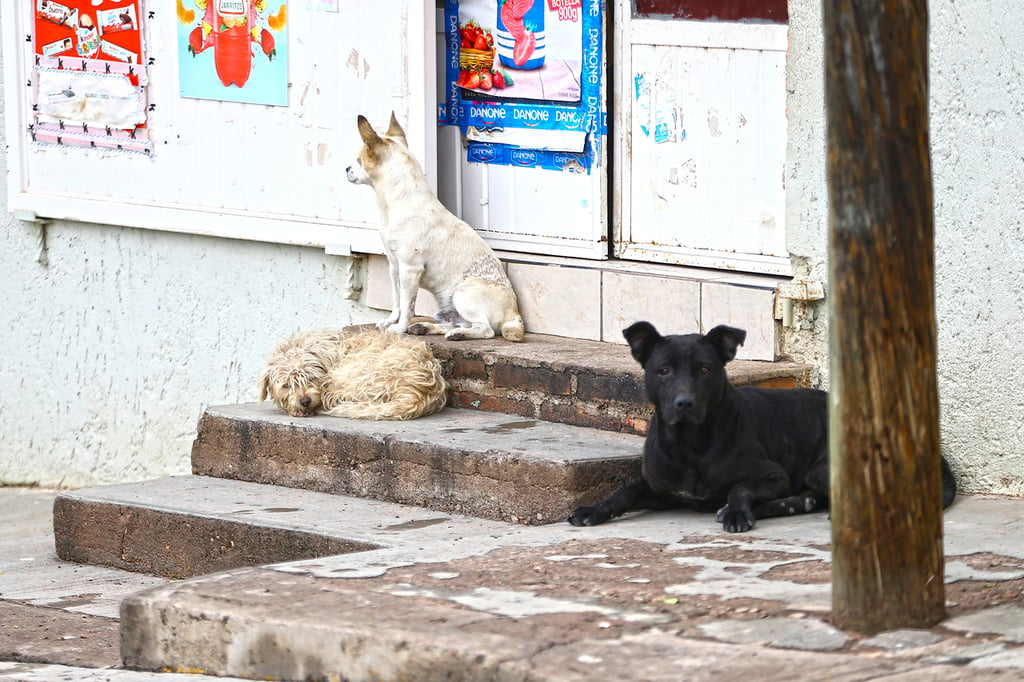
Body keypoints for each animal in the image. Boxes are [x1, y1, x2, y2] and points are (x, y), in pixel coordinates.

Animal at [346, 114, 524, 346]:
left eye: (358, 161)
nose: (346, 169)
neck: (398, 202)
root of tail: (516, 314)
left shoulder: (409, 270)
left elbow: (407, 305)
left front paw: (399, 328)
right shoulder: (394, 267)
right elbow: (396, 300)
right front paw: (391, 321)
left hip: (462, 295)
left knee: (485, 330)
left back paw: (456, 334)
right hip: (449, 305)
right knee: (458, 323)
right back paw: (426, 327)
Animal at [565, 319, 954, 532]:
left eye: (705, 368)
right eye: (663, 370)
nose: (684, 403)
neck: (691, 443)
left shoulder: (773, 475)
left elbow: (740, 488)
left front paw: (738, 512)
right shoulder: (659, 487)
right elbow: (625, 491)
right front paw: (593, 509)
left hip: (821, 467)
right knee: (809, 499)